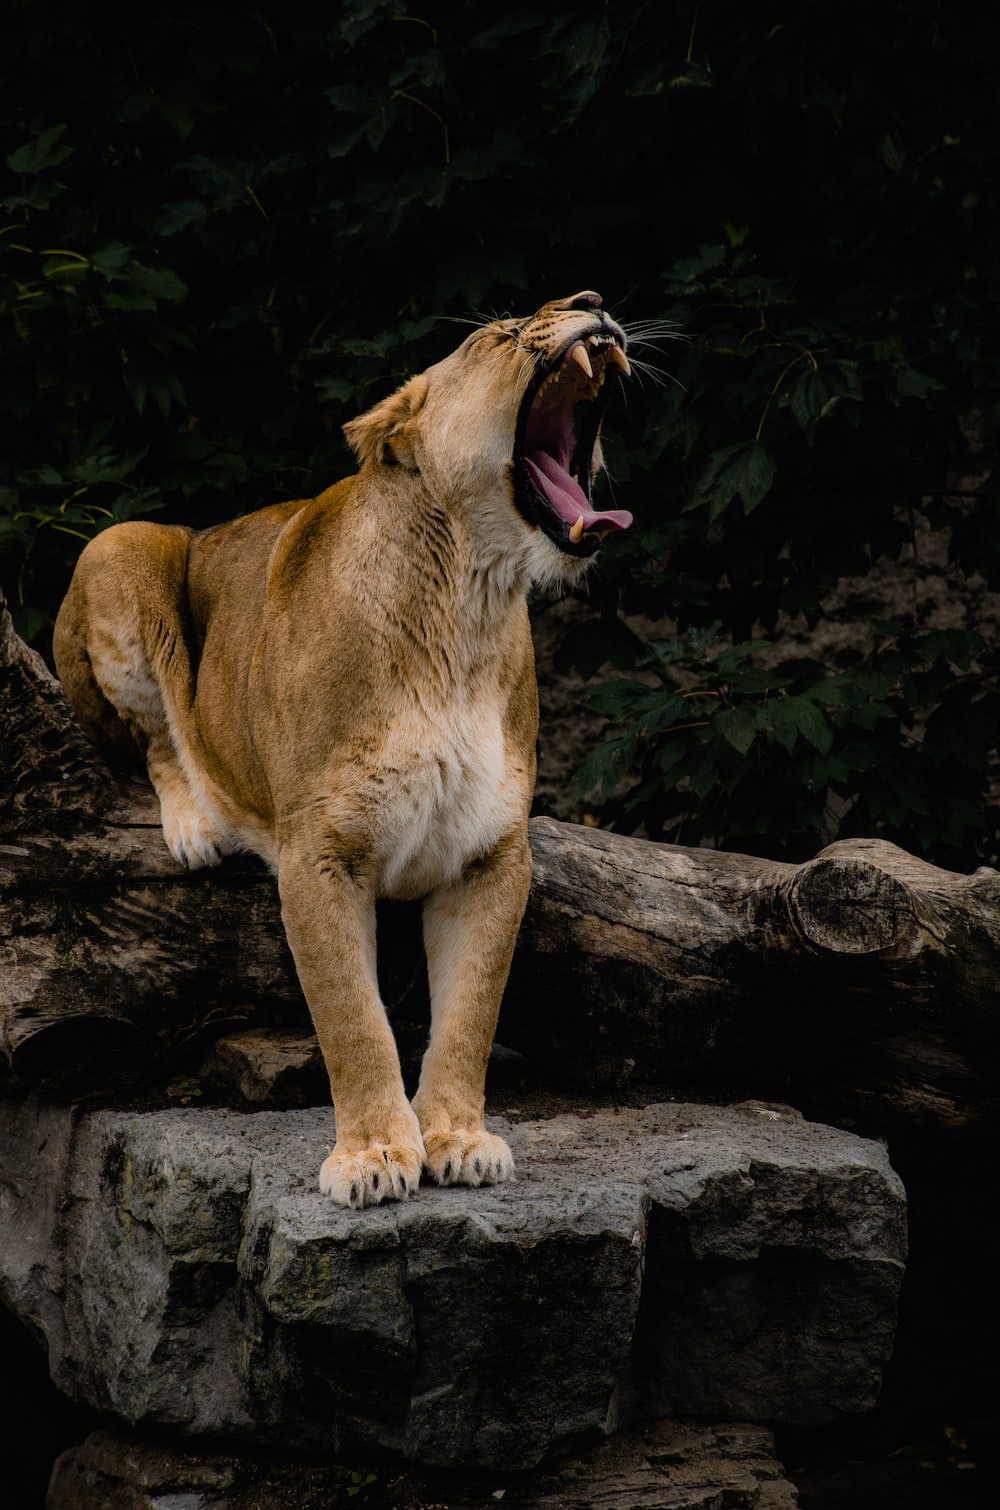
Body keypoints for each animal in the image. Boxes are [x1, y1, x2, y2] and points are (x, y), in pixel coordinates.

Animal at [53, 290, 632, 1207]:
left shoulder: (491, 856)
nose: (592, 302)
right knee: (157, 739)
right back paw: (195, 825)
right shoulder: (317, 853)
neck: (468, 604)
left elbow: (470, 1012)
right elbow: (353, 1018)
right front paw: (373, 1156)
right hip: (124, 544)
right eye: (502, 335)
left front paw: (457, 1137)